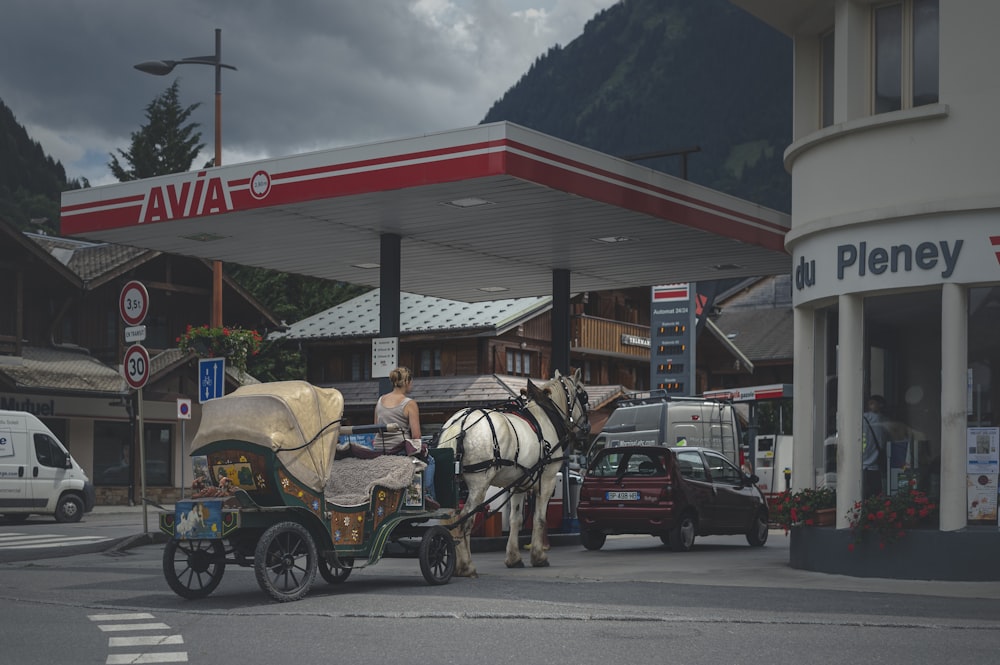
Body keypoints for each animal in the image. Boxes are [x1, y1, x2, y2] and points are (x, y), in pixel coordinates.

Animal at [436, 368, 584, 576]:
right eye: (584, 395)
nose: (586, 428)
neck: (545, 417)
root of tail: (460, 424)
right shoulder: (547, 480)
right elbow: (539, 518)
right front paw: (539, 556)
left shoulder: (520, 483)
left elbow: (516, 519)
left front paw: (514, 558)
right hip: (479, 484)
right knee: (465, 520)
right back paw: (466, 566)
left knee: (451, 520)